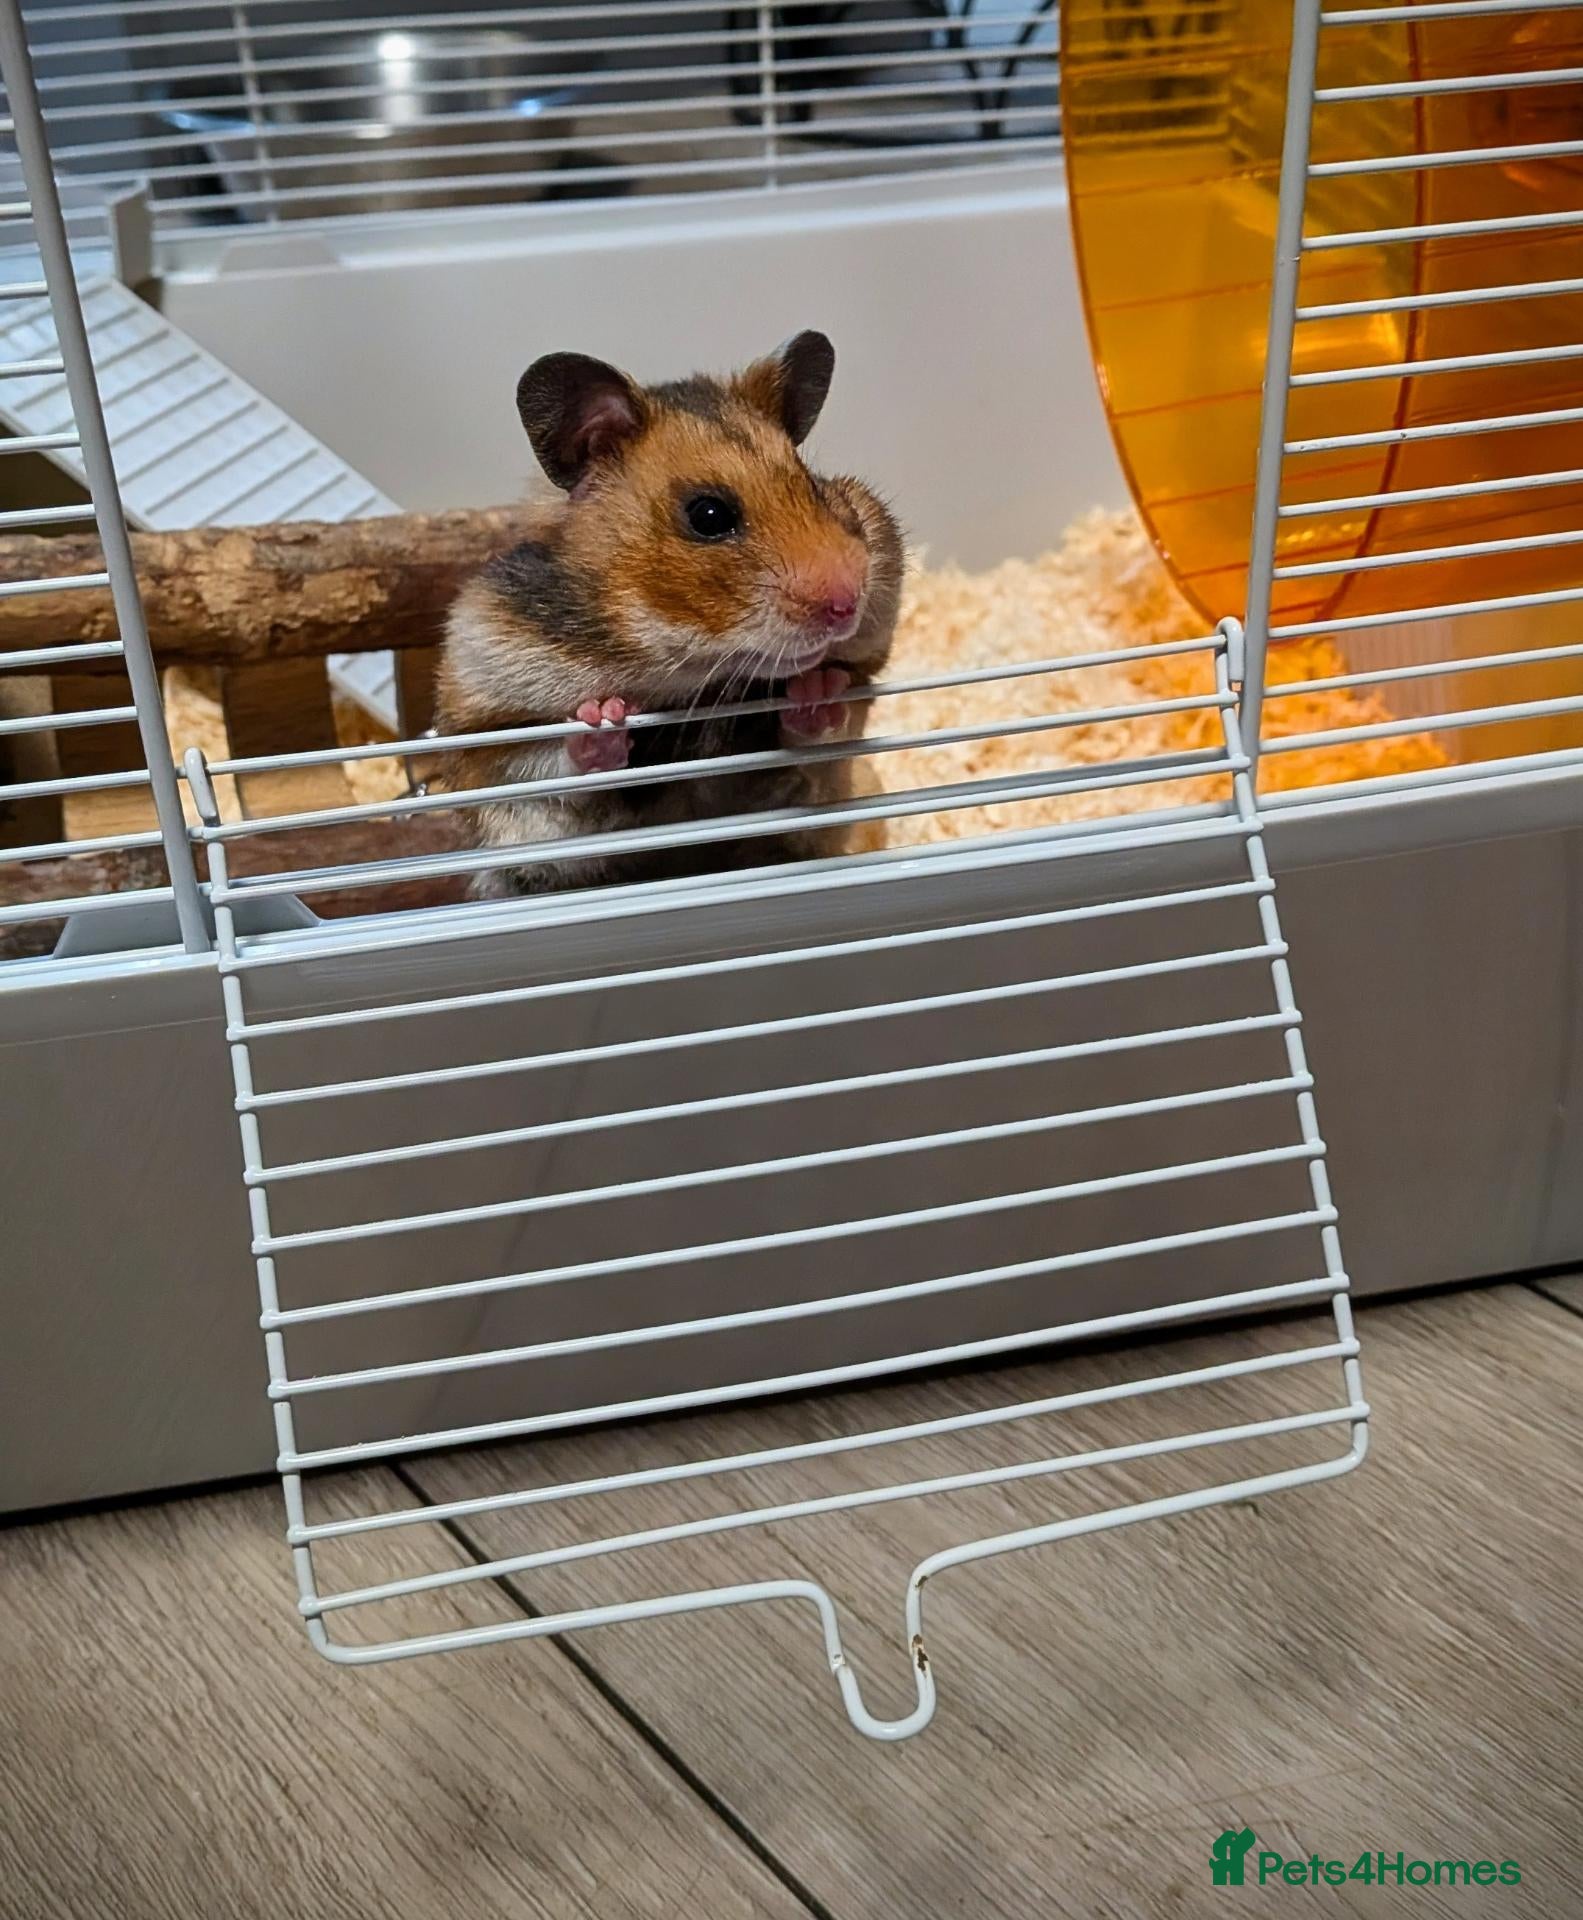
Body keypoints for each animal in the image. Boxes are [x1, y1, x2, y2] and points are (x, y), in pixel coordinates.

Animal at [436, 330, 903, 896]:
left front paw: (817, 690)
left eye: (812, 484)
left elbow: (818, 727)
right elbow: (553, 765)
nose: (847, 603)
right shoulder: (490, 736)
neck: (678, 673)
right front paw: (605, 717)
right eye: (708, 515)